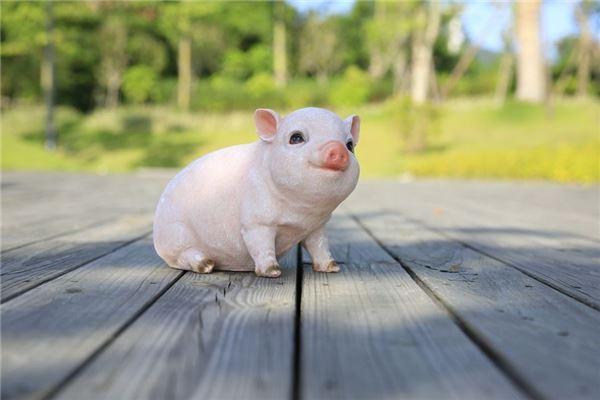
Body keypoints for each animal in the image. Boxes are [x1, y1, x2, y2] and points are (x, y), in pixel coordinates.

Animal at [155, 108, 358, 280]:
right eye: (296, 138)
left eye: (350, 145)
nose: (338, 149)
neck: (300, 215)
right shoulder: (256, 221)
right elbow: (261, 245)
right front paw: (272, 272)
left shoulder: (317, 227)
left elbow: (319, 246)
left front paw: (332, 268)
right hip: (176, 236)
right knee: (183, 256)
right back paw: (206, 265)